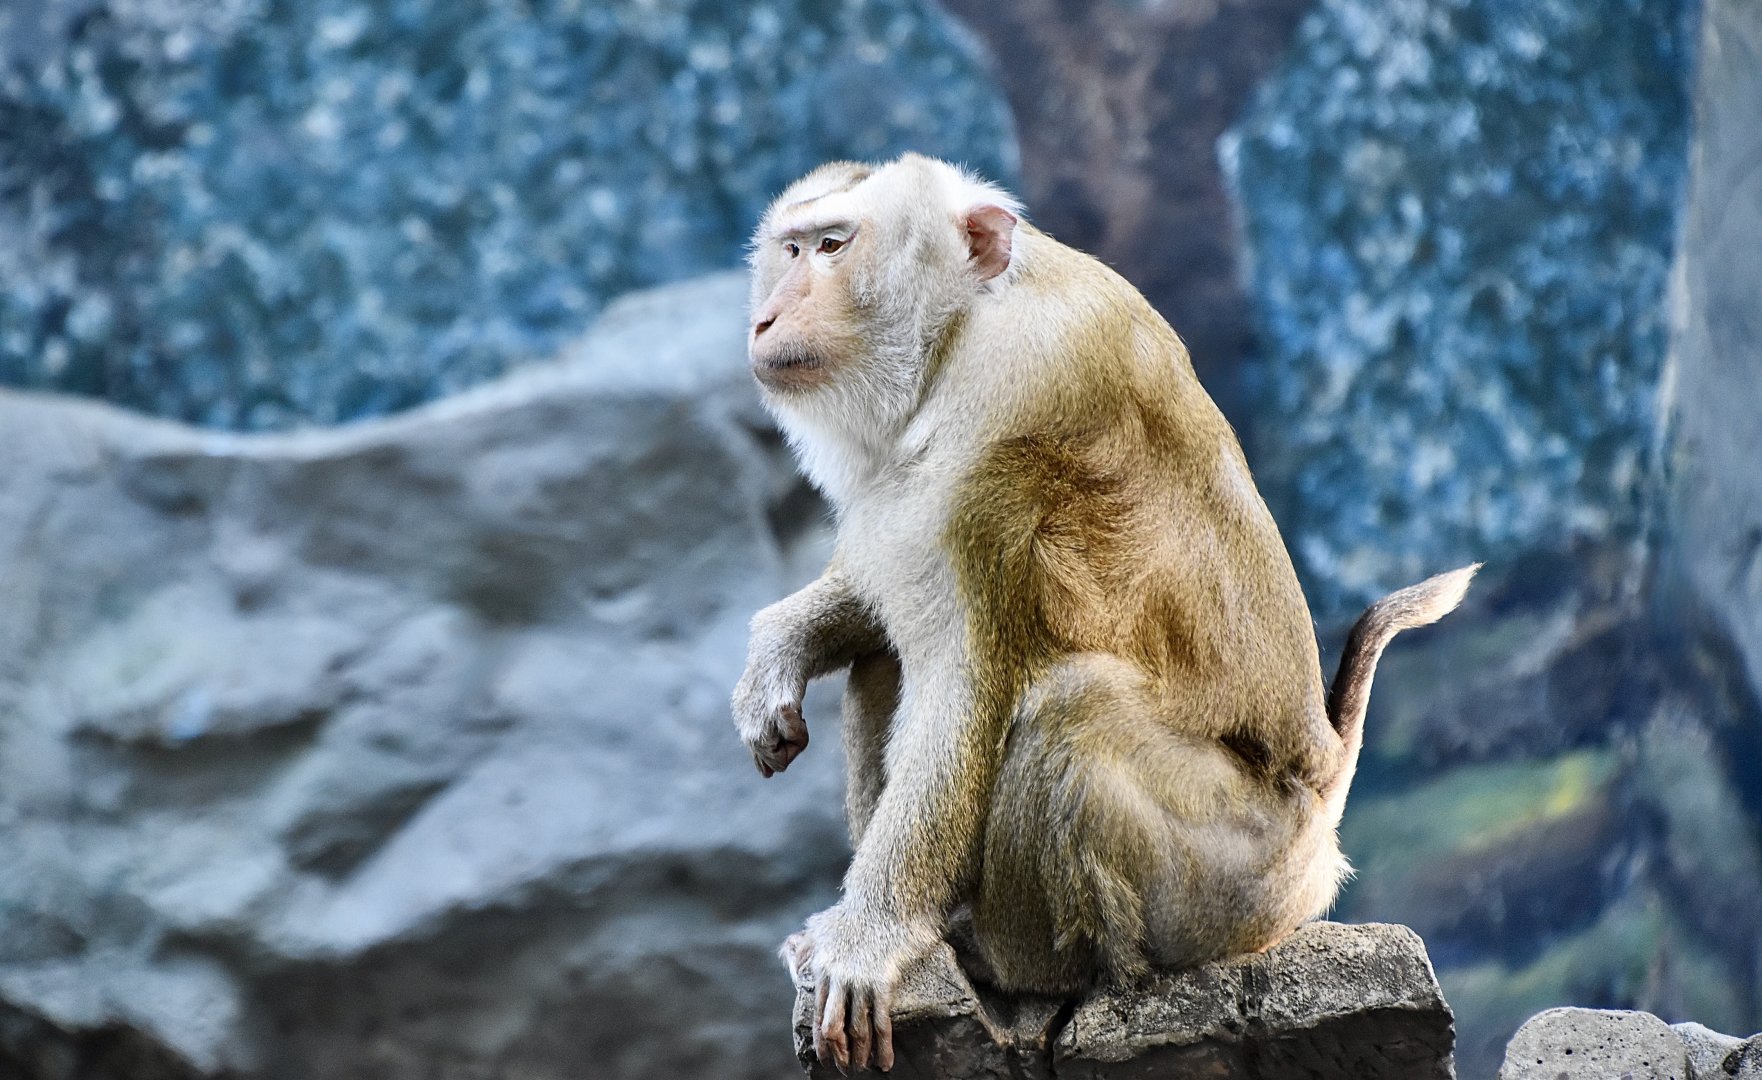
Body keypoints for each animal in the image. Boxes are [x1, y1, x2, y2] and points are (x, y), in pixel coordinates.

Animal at [730, 153, 1475, 1073]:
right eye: (790, 248)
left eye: (834, 246)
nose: (767, 315)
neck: (965, 323)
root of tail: (1327, 786)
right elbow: (885, 598)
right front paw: (783, 643)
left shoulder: (1010, 406)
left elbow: (966, 680)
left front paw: (868, 941)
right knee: (887, 656)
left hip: (1226, 884)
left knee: (1071, 707)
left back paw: (1006, 966)